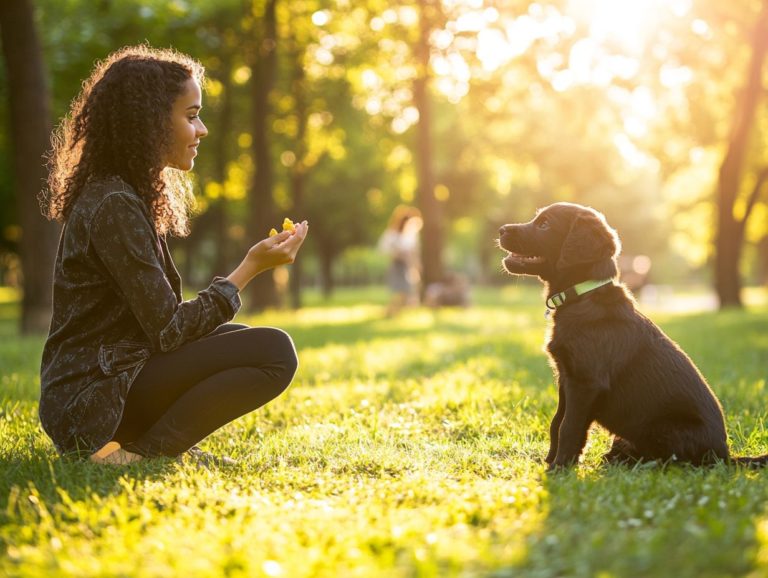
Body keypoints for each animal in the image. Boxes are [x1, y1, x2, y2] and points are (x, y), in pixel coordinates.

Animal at [500, 202, 764, 468]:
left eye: (545, 225)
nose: (502, 229)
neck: (582, 296)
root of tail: (725, 456)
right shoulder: (565, 377)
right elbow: (557, 421)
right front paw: (552, 460)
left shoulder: (585, 382)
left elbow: (569, 426)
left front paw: (559, 467)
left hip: (661, 428)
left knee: (673, 460)